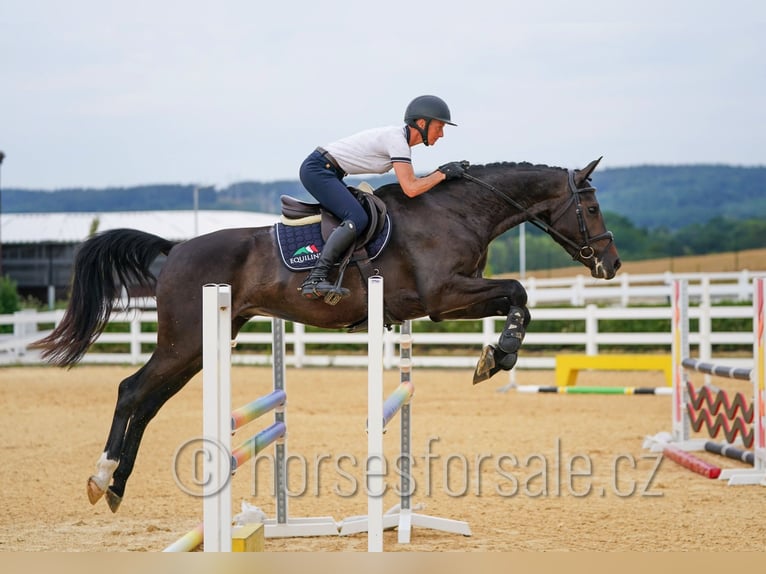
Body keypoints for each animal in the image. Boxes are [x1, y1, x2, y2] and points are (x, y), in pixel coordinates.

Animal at [32, 157, 620, 512]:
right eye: (591, 207)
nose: (611, 264)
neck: (454, 210)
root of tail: (174, 249)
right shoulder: (443, 296)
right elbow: (518, 290)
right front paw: (498, 356)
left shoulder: (450, 300)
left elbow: (517, 297)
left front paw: (494, 355)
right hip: (186, 342)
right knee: (132, 391)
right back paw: (103, 477)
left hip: (199, 348)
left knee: (149, 401)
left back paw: (116, 485)